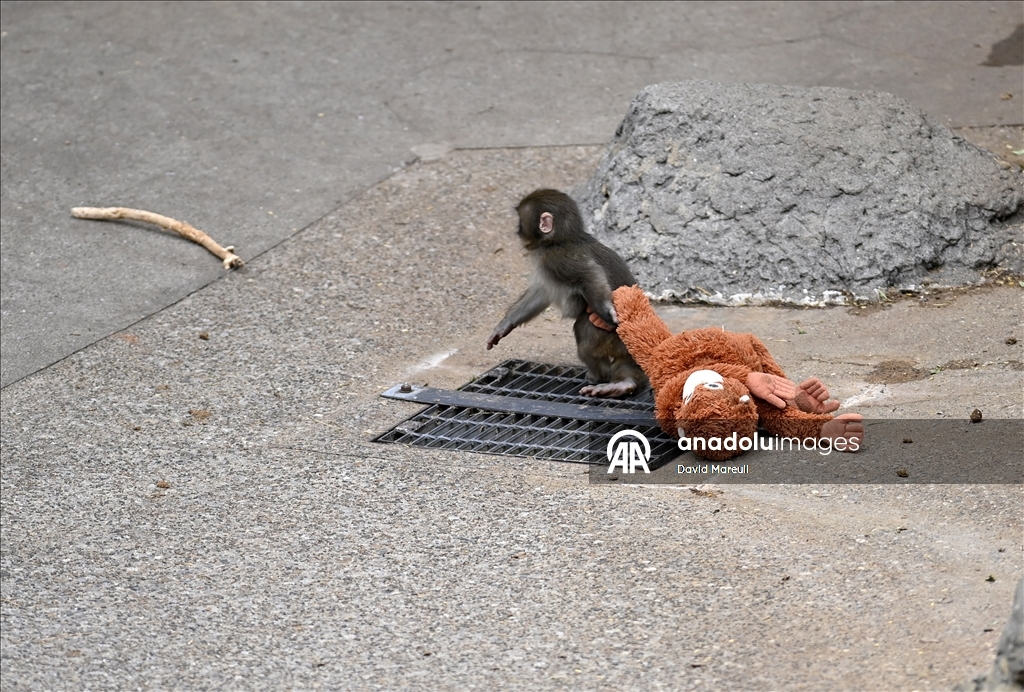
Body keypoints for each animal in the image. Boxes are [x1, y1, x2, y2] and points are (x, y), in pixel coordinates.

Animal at [486, 188, 648, 398]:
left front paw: (608, 310)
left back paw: (600, 375)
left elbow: (589, 274)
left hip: (612, 337)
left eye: (521, 220)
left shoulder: (556, 258)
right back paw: (623, 384)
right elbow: (541, 293)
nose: (517, 230)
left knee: (584, 330)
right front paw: (505, 325)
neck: (558, 240)